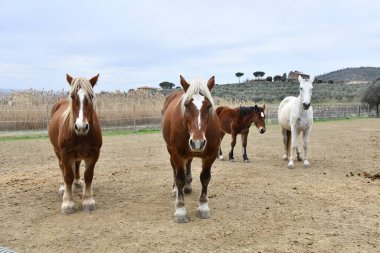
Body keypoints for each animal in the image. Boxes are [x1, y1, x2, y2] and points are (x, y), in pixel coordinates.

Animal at [49, 73, 102, 213]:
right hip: (58, 151)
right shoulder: (65, 153)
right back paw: (64, 188)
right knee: (62, 167)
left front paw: (88, 201)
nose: (81, 127)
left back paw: (77, 182)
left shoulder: (94, 153)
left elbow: (88, 175)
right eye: (73, 96)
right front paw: (68, 203)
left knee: (77, 165)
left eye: (91, 96)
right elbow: (67, 175)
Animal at [162, 75, 221, 223]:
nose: (197, 142)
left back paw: (187, 186)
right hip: (171, 151)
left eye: (208, 106)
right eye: (186, 105)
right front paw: (180, 210)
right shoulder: (177, 153)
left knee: (188, 163)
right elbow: (179, 178)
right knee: (174, 169)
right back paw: (175, 190)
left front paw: (203, 207)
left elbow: (205, 178)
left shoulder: (211, 155)